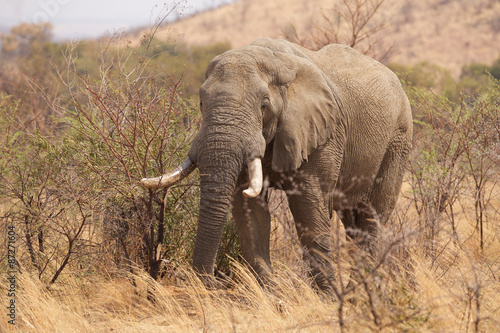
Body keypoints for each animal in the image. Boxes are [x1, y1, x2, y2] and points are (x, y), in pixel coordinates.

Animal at [140, 37, 410, 290]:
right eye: (201, 103)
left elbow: (308, 207)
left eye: (264, 105)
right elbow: (249, 211)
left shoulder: (324, 132)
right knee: (354, 222)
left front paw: (329, 298)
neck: (274, 60)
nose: (211, 284)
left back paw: (357, 294)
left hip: (398, 140)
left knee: (373, 216)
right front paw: (272, 295)